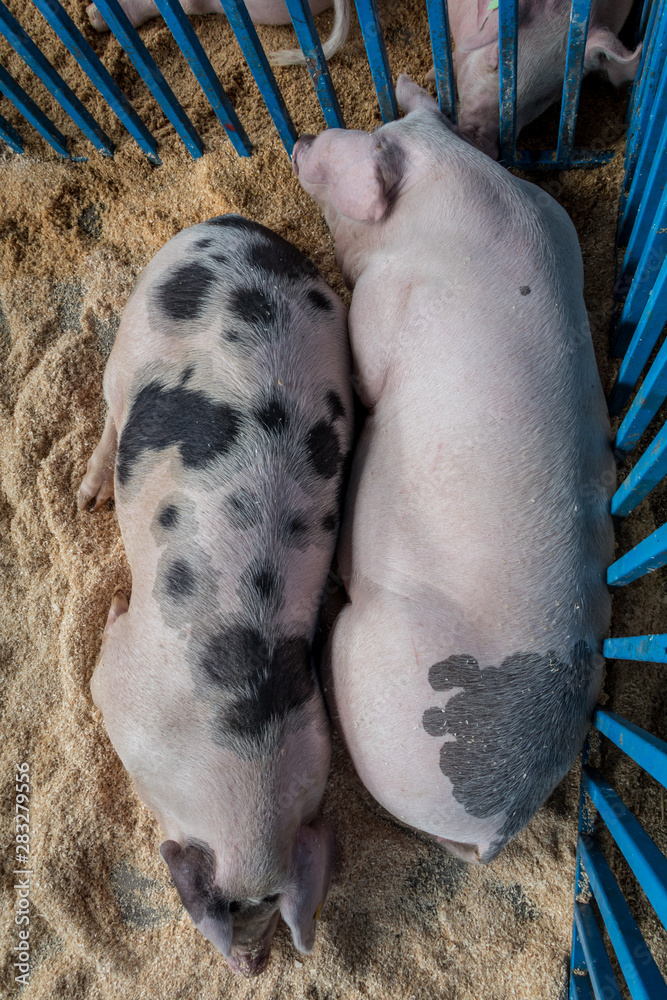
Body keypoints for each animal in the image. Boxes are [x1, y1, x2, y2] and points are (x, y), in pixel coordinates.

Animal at [79, 215, 354, 972]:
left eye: (268, 912)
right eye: (222, 909)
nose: (252, 964)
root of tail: (233, 226)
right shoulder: (118, 685)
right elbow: (100, 662)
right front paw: (114, 604)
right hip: (131, 337)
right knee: (110, 412)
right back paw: (89, 495)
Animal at [294, 74, 620, 864]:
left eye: (352, 145)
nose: (304, 135)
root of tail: (493, 828)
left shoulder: (383, 306)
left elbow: (368, 371)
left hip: (366, 661)